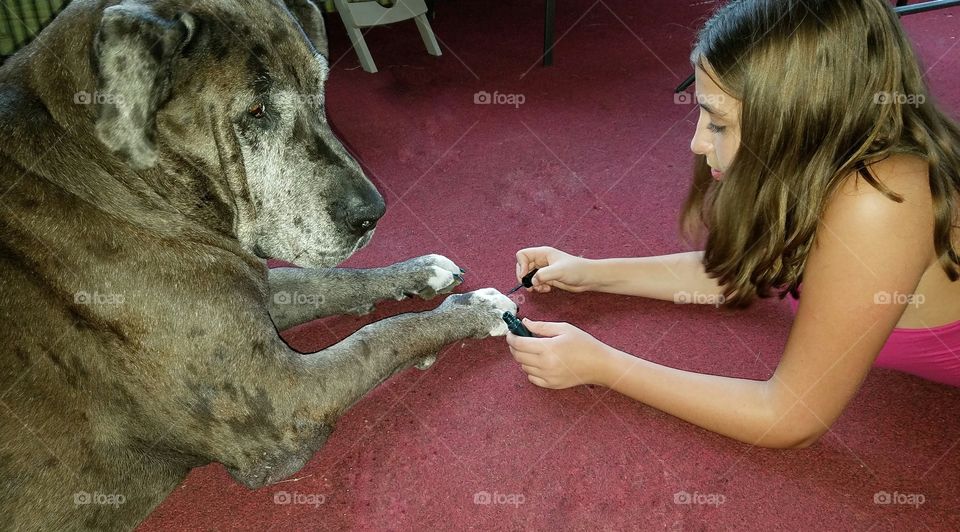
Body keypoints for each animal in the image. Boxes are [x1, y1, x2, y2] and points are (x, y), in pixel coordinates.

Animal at [0, 0, 516, 528]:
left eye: (320, 90)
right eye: (256, 111)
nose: (373, 213)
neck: (111, 175)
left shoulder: (253, 291)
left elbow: (330, 278)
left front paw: (419, 271)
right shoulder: (282, 407)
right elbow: (380, 336)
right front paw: (471, 311)